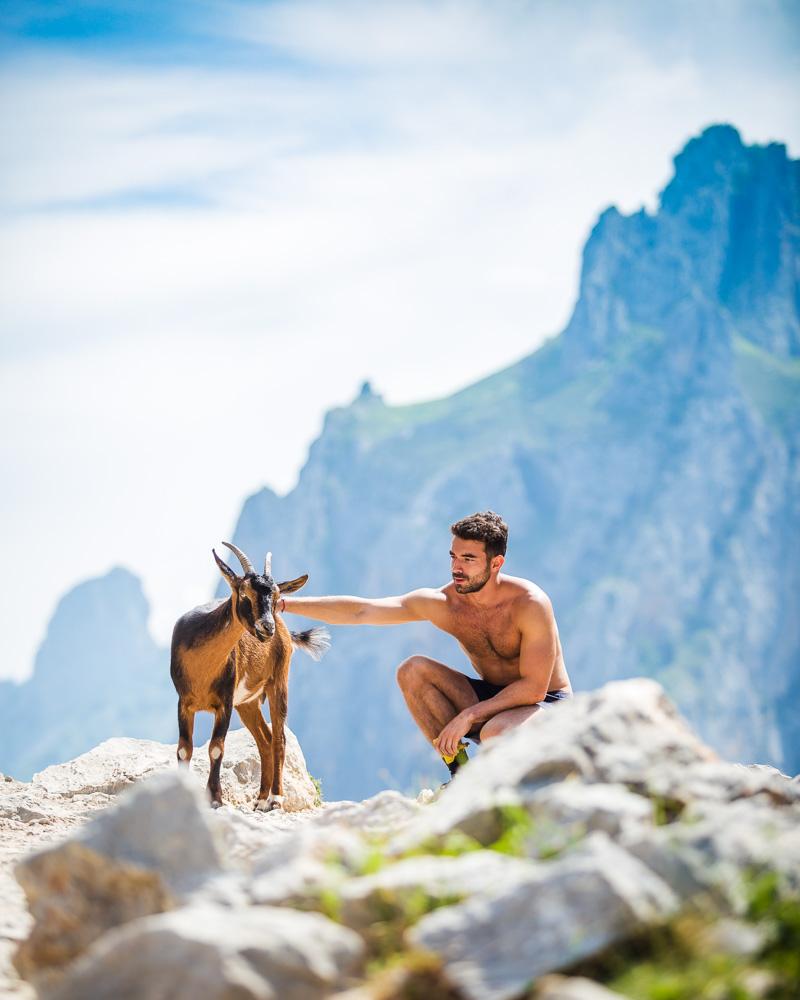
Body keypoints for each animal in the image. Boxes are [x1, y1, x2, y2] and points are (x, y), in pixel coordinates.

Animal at [170, 544, 330, 808]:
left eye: (276, 597)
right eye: (244, 593)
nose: (267, 627)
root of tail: (285, 631)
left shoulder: (224, 702)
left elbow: (216, 747)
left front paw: (215, 798)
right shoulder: (184, 702)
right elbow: (184, 749)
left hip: (278, 683)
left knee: (278, 737)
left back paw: (275, 798)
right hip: (247, 703)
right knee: (264, 740)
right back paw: (261, 798)